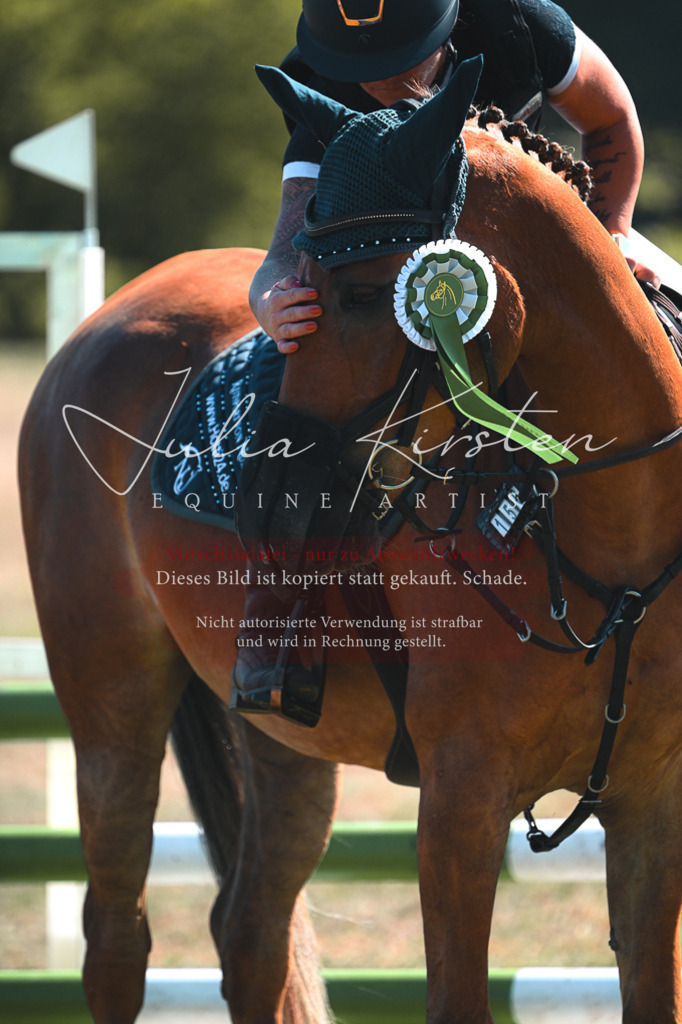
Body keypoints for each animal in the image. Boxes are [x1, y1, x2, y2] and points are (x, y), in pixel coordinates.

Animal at [18, 58, 682, 1024]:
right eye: (301, 286)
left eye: (368, 294)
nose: (266, 500)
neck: (616, 533)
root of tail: (102, 324)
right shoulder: (460, 804)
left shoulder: (652, 801)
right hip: (112, 708)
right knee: (116, 939)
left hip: (282, 746)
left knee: (250, 933)